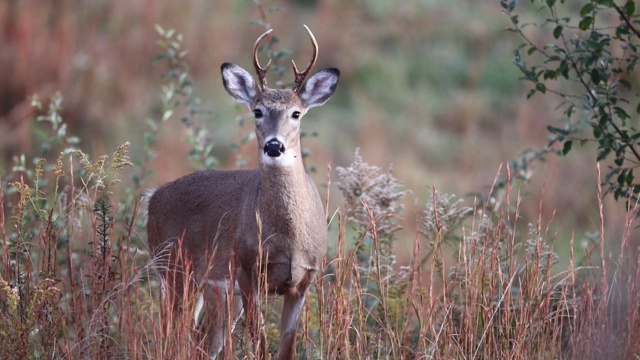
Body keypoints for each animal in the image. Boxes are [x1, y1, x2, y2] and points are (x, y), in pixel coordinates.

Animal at [146, 26, 340, 360]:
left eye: (296, 113)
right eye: (257, 111)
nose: (274, 146)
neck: (288, 239)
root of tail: (152, 198)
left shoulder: (304, 281)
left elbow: (286, 347)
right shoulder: (248, 273)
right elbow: (260, 343)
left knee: (203, 342)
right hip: (174, 267)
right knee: (172, 332)